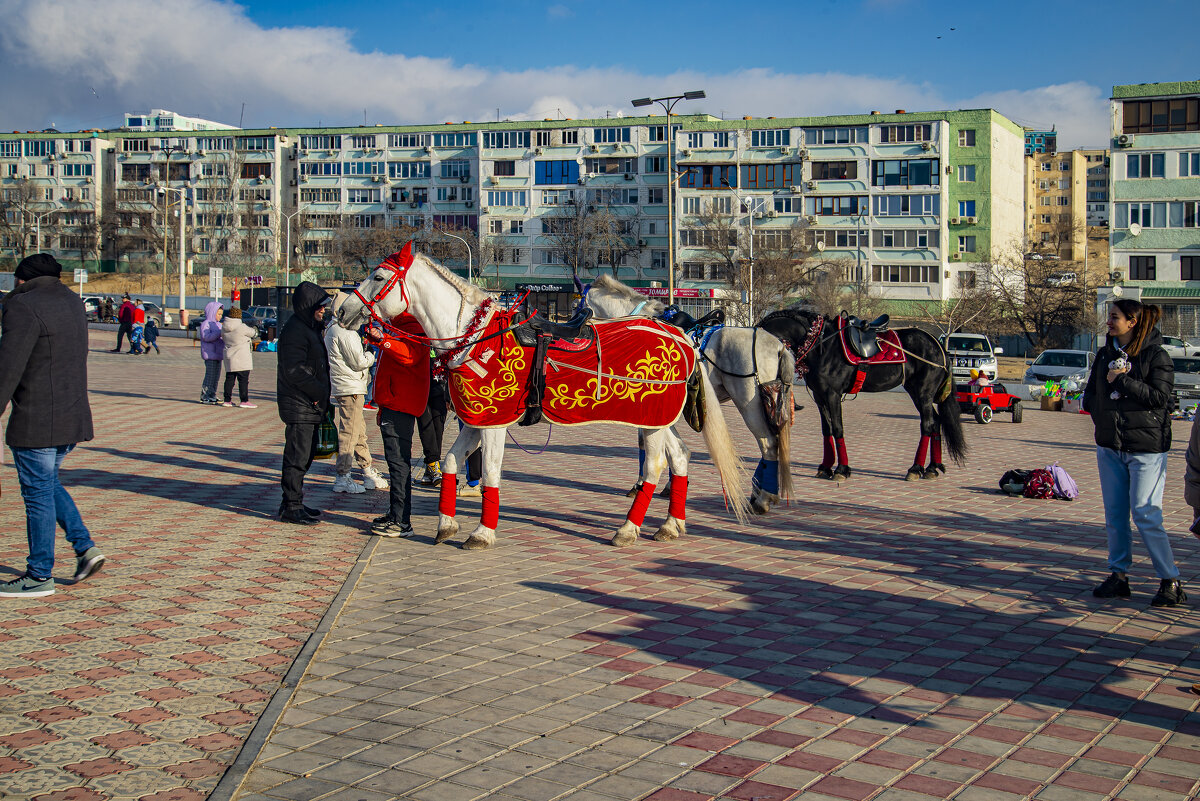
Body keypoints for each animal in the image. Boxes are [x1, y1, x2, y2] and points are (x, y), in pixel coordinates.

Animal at [340, 247, 748, 551]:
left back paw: (627, 530)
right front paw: (446, 524)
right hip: (659, 420)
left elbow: (489, 473)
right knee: (679, 458)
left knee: (654, 467)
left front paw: (481, 533)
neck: (476, 336)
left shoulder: (494, 424)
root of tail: (682, 336)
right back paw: (670, 525)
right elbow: (453, 462)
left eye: (379, 277)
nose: (343, 311)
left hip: (651, 422)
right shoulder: (476, 420)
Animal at [583, 275, 796, 513]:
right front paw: (672, 484)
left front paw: (641, 484)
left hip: (750, 405)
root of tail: (778, 345)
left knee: (768, 445)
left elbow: (646, 444)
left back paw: (762, 499)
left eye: (577, 307)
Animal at [758, 309, 964, 479]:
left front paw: (842, 469)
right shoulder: (820, 396)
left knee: (928, 424)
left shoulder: (832, 394)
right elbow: (827, 429)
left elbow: (838, 428)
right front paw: (826, 467)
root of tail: (938, 345)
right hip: (917, 392)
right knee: (935, 422)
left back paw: (916, 468)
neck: (821, 344)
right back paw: (932, 467)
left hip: (923, 393)